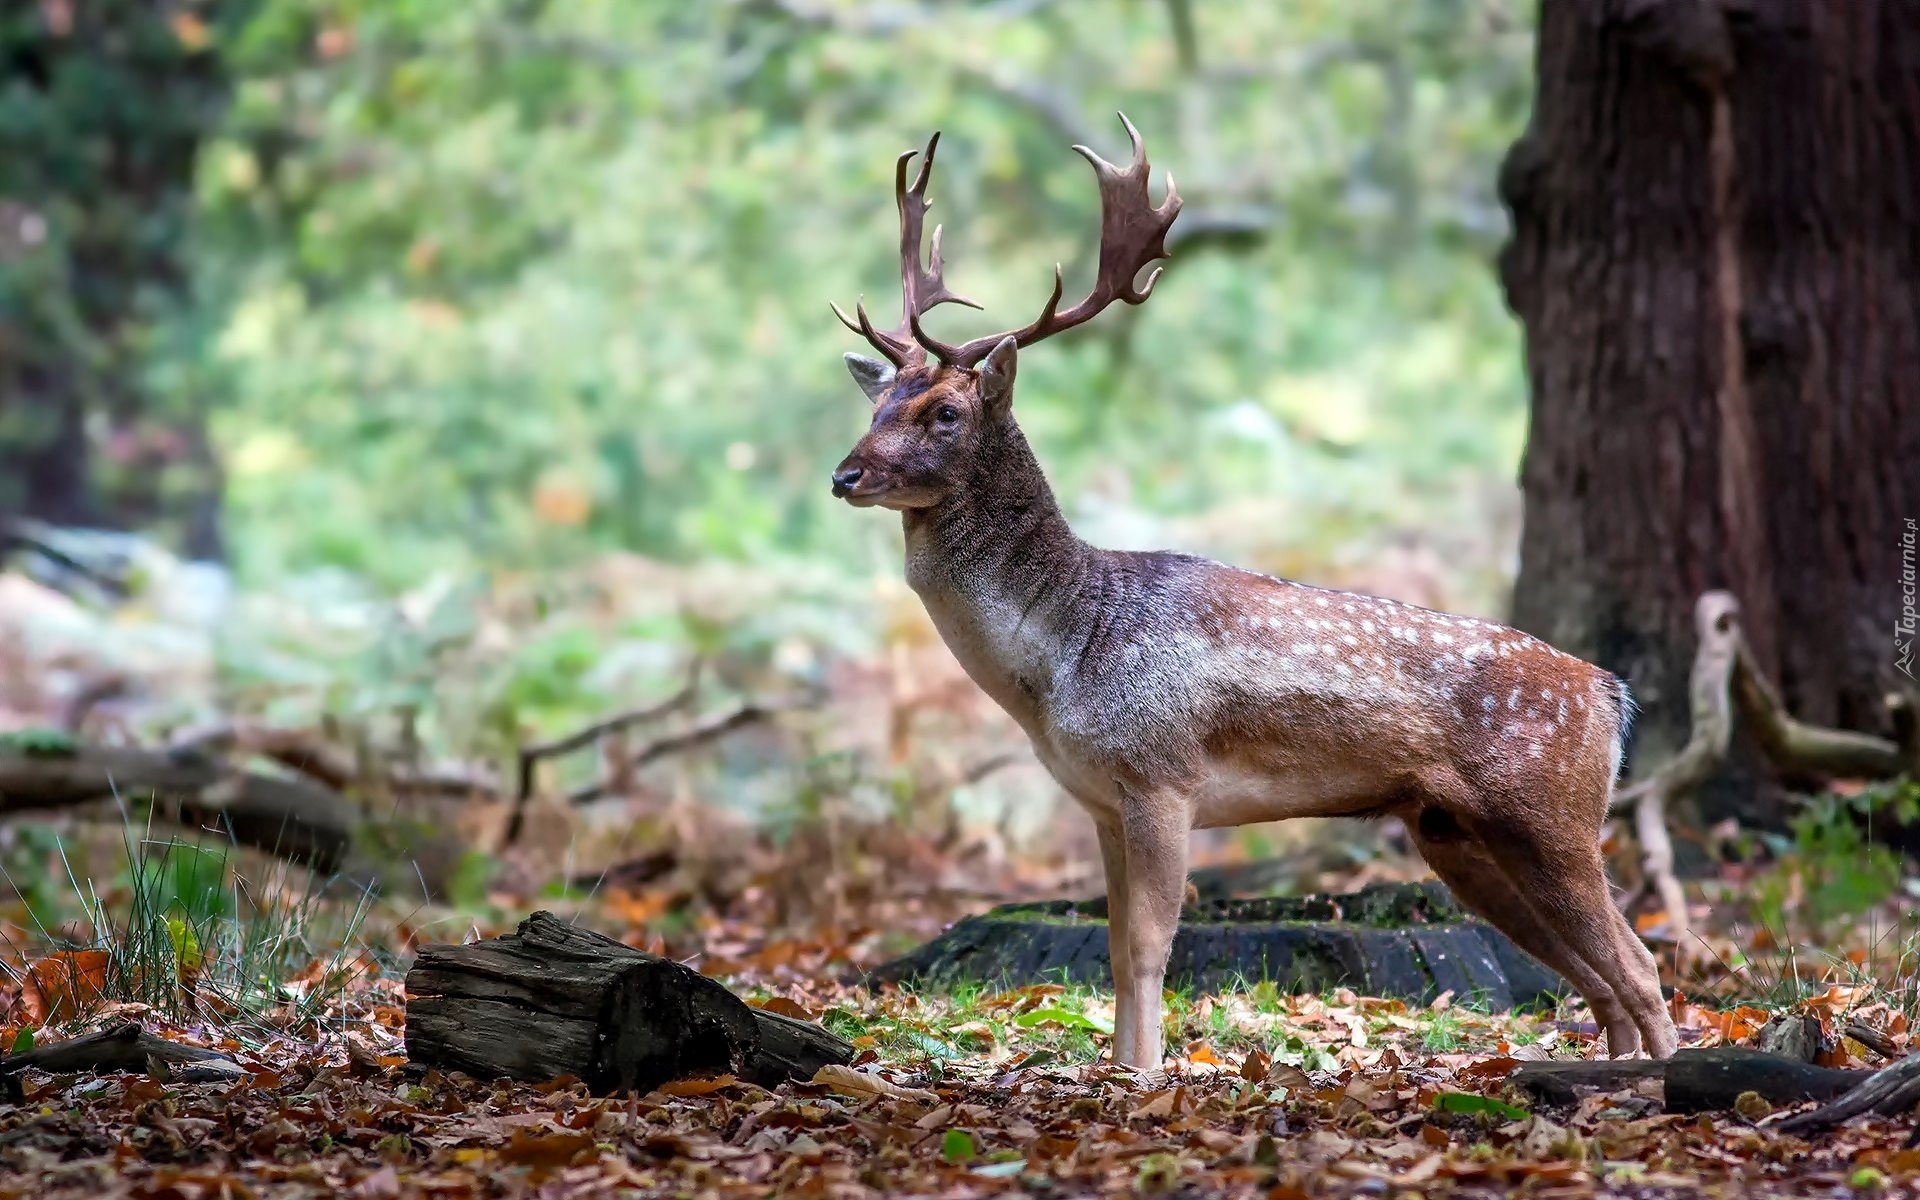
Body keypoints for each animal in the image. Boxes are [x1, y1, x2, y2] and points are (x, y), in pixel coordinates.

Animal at [825, 114, 1681, 1067]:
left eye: (944, 413)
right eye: (876, 405)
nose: (845, 475)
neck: (1062, 657)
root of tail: (1610, 694)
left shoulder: (1163, 776)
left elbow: (1152, 948)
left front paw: (1146, 1078)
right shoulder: (1101, 802)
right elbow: (1113, 953)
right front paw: (1118, 1071)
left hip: (1553, 811)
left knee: (1640, 962)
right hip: (1456, 832)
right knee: (1597, 975)